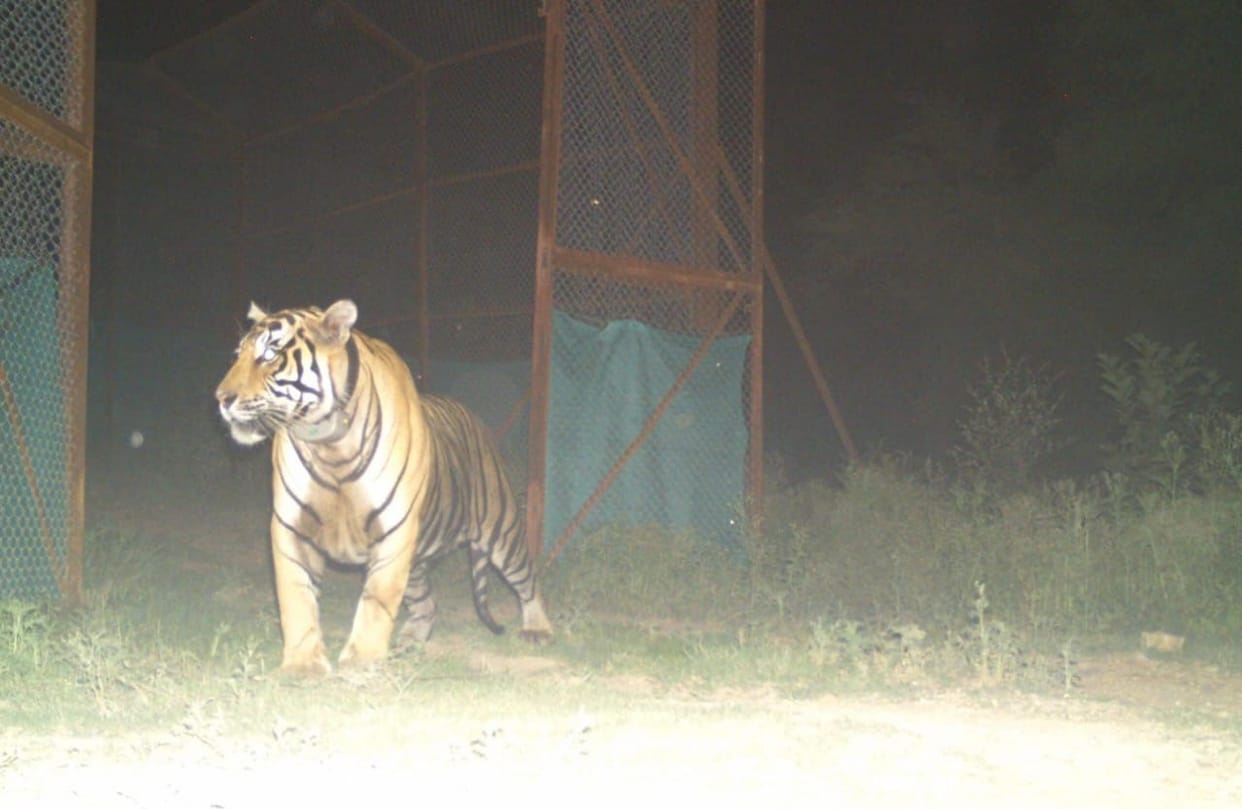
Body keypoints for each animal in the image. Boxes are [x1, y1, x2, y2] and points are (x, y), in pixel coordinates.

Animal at [215, 299, 553, 674]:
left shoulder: (394, 531)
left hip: (500, 532)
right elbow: (295, 597)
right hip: (418, 560)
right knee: (427, 603)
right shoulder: (291, 526)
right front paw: (303, 664)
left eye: (269, 355)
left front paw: (361, 660)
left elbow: (376, 600)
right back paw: (407, 644)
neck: (330, 447)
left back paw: (538, 630)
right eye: (238, 355)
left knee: (529, 580)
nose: (221, 398)